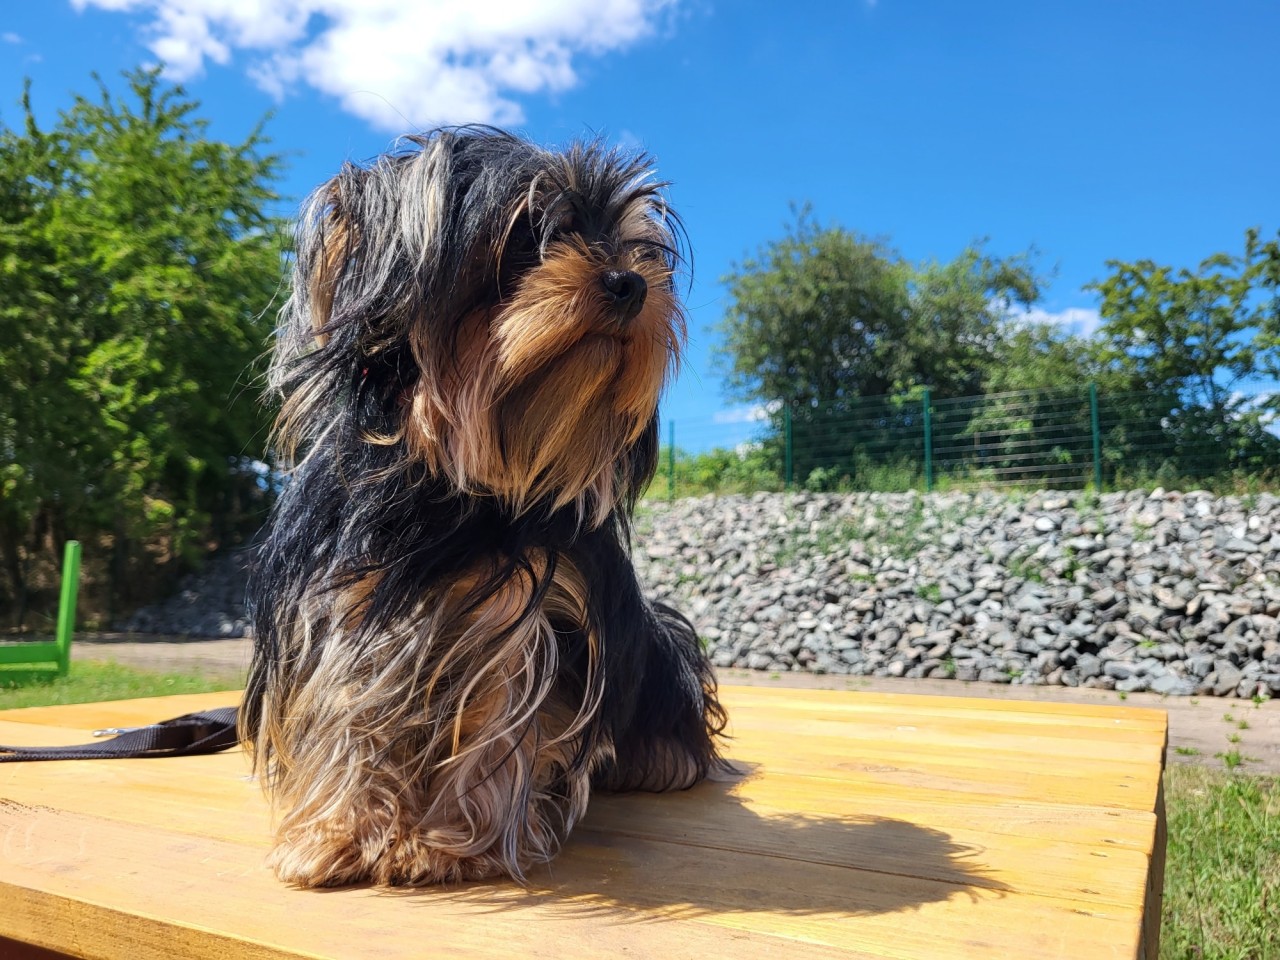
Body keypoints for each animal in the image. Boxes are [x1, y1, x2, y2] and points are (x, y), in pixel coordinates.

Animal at [236, 129, 727, 896]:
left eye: (636, 246)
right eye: (528, 235)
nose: (632, 282)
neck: (453, 490)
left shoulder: (529, 609)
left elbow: (500, 714)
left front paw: (447, 845)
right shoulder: (345, 603)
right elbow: (345, 706)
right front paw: (332, 835)